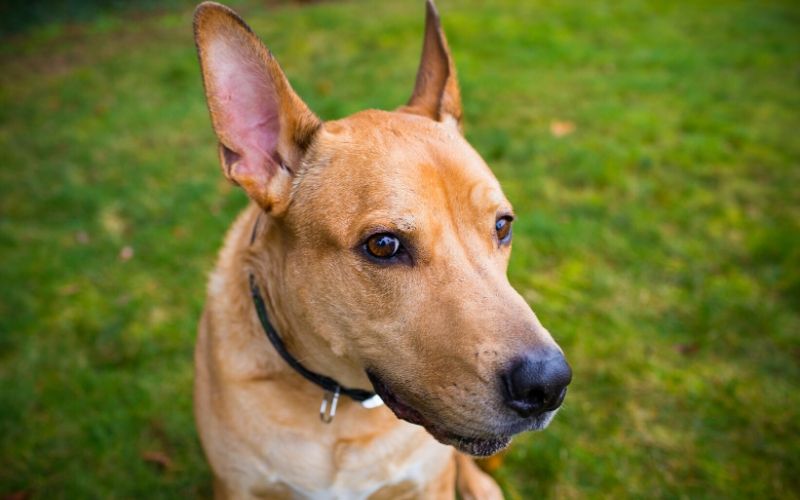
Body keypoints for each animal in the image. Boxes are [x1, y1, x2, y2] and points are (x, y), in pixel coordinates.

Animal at [191, 1, 572, 498]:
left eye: (502, 226)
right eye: (384, 245)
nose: (549, 384)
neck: (337, 409)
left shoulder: (428, 483)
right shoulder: (236, 486)